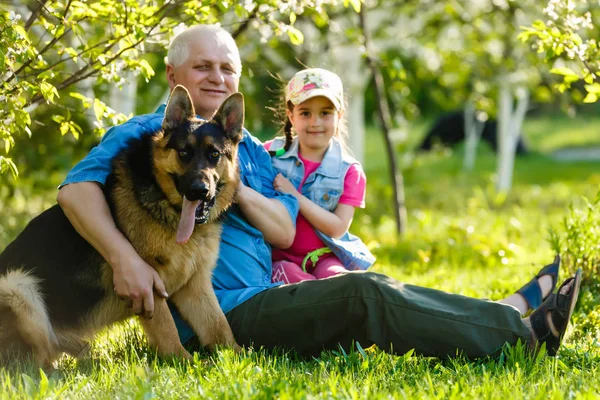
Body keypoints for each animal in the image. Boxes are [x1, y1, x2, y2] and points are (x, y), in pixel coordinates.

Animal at [0, 86, 244, 368]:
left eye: (214, 155)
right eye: (184, 153)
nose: (199, 191)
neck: (165, 207)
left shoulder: (195, 285)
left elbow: (219, 327)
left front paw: (239, 359)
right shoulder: (148, 284)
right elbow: (169, 333)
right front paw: (184, 363)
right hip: (18, 287)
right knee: (32, 364)